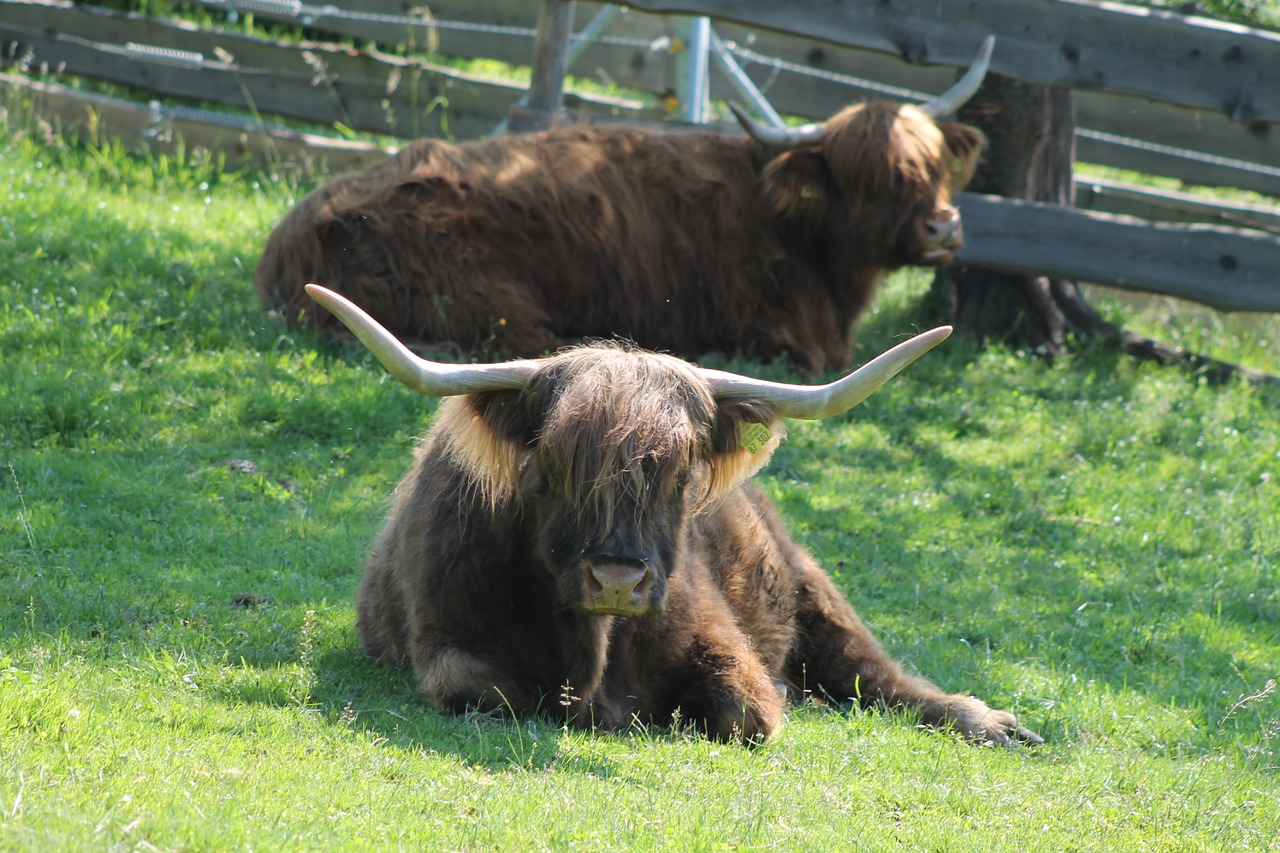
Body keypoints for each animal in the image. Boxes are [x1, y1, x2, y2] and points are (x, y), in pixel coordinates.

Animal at [259, 39, 993, 371]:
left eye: (933, 165)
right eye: (870, 178)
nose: (944, 226)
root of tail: (292, 238)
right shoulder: (773, 335)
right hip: (492, 300)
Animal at [307, 280, 1039, 742]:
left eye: (681, 470)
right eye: (553, 461)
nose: (618, 579)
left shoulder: (719, 636)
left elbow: (748, 710)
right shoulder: (443, 642)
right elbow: (485, 690)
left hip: (813, 588)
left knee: (878, 675)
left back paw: (993, 724)